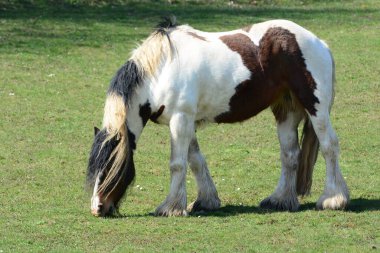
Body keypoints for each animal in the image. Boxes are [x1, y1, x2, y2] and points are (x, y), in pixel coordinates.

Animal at [87, 16, 350, 216]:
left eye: (109, 166)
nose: (97, 208)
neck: (161, 71)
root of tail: (319, 42)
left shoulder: (180, 120)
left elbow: (178, 164)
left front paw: (170, 207)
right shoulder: (186, 121)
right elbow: (195, 161)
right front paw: (206, 200)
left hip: (316, 108)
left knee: (329, 146)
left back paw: (333, 199)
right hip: (286, 111)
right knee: (290, 155)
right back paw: (281, 200)